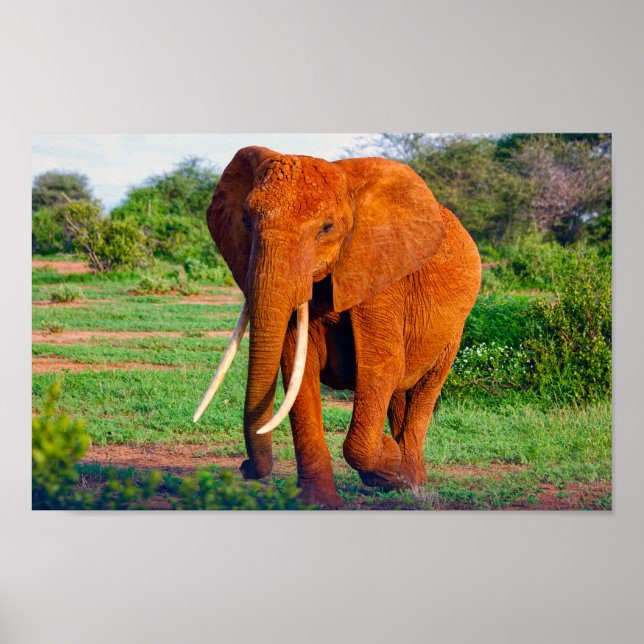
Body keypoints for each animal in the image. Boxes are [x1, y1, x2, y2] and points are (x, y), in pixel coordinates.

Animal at [193, 146, 481, 508]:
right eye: (245, 221)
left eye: (326, 228)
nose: (244, 467)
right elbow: (297, 368)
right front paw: (317, 503)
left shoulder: (380, 273)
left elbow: (382, 366)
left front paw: (388, 461)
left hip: (455, 328)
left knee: (425, 388)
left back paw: (411, 483)